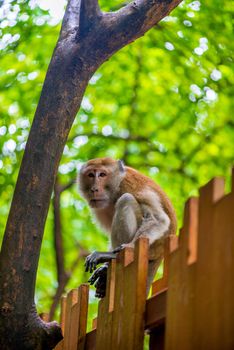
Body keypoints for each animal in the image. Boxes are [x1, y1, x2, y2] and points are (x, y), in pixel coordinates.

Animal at [78, 159, 176, 298]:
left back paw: (113, 256)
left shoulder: (131, 187)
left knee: (126, 199)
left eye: (102, 174)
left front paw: (128, 247)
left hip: (151, 248)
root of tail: (161, 253)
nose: (94, 189)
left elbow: (159, 219)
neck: (116, 184)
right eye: (90, 175)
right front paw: (104, 269)